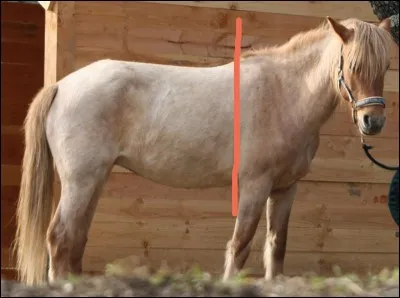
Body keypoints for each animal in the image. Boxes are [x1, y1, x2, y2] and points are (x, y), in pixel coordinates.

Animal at [13, 16, 394, 286]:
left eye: (385, 67)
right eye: (353, 65)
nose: (372, 122)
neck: (284, 94)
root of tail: (62, 86)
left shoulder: (286, 189)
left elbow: (276, 247)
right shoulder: (254, 186)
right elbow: (240, 246)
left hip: (92, 181)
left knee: (74, 241)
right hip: (81, 181)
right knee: (60, 239)